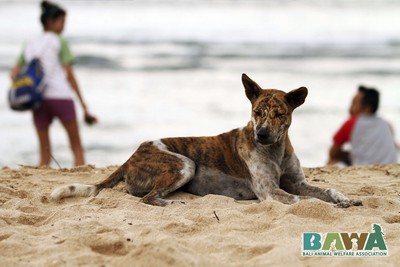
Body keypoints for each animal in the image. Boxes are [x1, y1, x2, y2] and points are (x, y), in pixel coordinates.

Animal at [50, 74, 360, 208]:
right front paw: (330, 206)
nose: (261, 134)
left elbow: (327, 190)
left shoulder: (296, 182)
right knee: (148, 198)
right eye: (257, 112)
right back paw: (172, 203)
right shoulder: (270, 192)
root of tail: (130, 157)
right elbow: (306, 201)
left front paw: (345, 198)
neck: (276, 150)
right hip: (184, 164)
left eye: (279, 114)